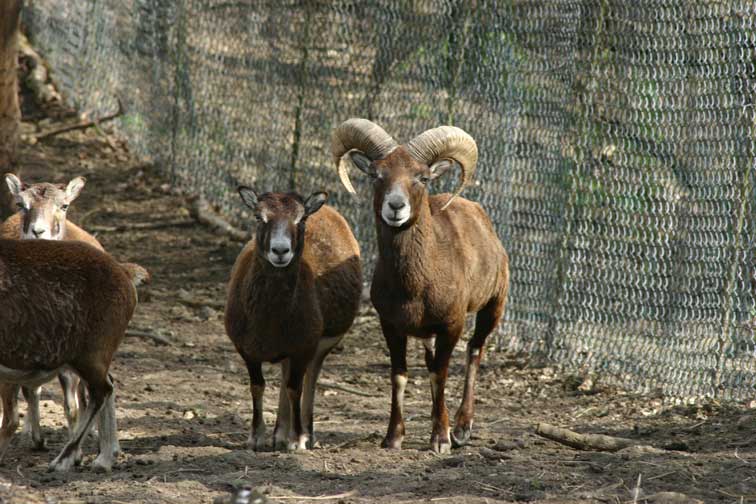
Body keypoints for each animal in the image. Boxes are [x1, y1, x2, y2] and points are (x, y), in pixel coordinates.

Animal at [0, 238, 144, 470]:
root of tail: (124, 273)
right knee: (108, 385)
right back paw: (104, 458)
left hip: (90, 356)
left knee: (102, 391)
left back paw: (64, 461)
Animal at [226, 188, 362, 448]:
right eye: (258, 216)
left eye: (301, 219)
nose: (280, 251)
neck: (269, 321)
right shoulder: (246, 350)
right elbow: (257, 387)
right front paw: (256, 438)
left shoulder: (303, 347)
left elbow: (295, 389)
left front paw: (297, 440)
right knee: (285, 373)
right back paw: (279, 434)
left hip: (321, 345)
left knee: (310, 381)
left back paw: (305, 435)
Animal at [330, 118, 508, 452]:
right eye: (376, 174)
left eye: (422, 177)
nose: (396, 207)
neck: (414, 285)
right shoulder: (391, 327)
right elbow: (400, 376)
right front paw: (393, 438)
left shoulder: (451, 326)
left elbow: (440, 374)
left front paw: (441, 439)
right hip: (428, 336)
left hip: (493, 308)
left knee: (474, 351)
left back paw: (461, 429)